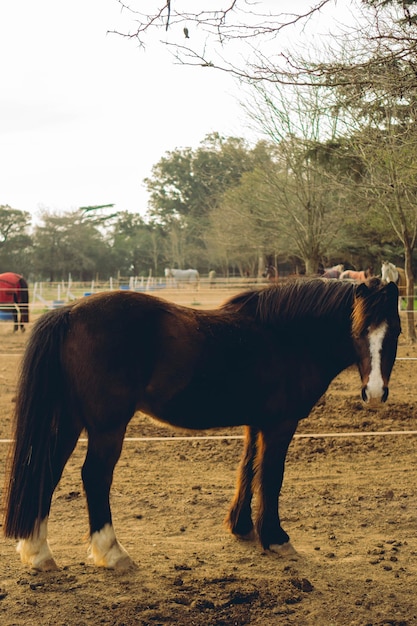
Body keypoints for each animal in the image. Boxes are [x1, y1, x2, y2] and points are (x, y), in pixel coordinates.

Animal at [3, 278, 400, 572]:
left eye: (394, 332)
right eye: (359, 331)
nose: (375, 392)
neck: (285, 337)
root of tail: (69, 313)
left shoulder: (255, 423)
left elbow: (248, 469)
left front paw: (242, 528)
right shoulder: (280, 424)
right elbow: (272, 476)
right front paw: (276, 538)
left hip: (69, 420)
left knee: (47, 470)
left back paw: (38, 552)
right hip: (106, 425)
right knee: (95, 476)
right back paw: (112, 553)